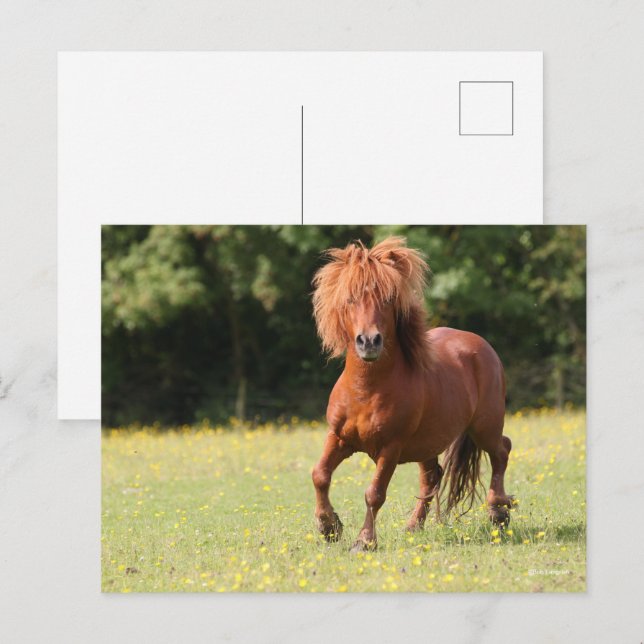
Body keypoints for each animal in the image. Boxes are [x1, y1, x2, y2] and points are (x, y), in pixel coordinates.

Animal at [310, 236, 513, 552]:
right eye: (350, 299)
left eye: (388, 299)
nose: (369, 341)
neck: (366, 389)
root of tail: (481, 345)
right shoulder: (339, 437)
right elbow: (319, 475)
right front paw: (328, 527)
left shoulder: (390, 448)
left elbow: (374, 493)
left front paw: (364, 541)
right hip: (427, 443)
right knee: (432, 477)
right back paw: (413, 526)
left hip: (484, 427)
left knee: (501, 451)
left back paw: (499, 513)